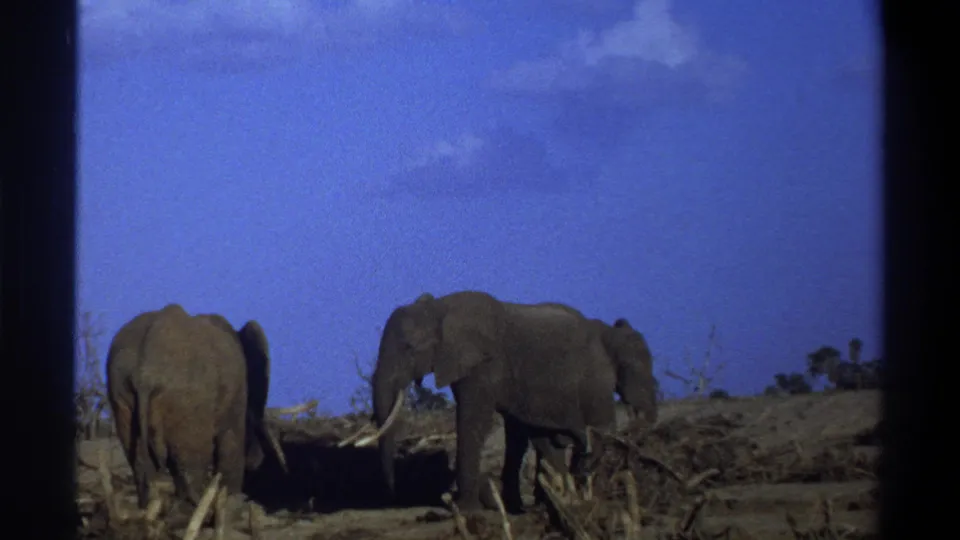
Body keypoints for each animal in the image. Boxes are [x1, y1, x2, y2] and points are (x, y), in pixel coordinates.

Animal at [105, 303, 286, 511]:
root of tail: (146, 371)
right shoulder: (237, 390)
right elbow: (231, 439)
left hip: (120, 387)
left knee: (139, 458)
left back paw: (152, 506)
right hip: (189, 399)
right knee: (193, 460)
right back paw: (194, 506)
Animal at [349, 290, 656, 512]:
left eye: (410, 348)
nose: (392, 495)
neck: (440, 309)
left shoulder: (484, 363)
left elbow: (473, 420)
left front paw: (464, 509)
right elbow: (514, 431)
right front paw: (508, 506)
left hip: (594, 382)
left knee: (597, 431)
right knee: (547, 438)